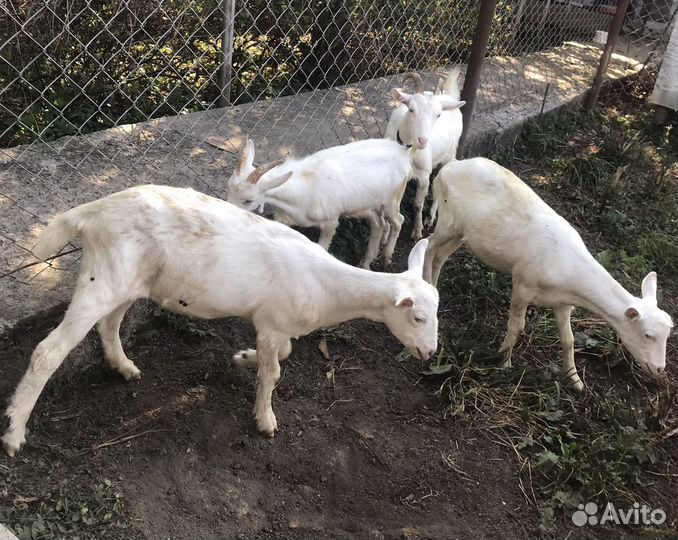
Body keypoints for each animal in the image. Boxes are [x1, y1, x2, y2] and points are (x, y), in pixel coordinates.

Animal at [2, 185, 439, 456]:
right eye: (417, 316)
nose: (429, 352)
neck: (325, 285)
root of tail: (91, 214)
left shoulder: (271, 322)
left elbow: (283, 351)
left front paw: (243, 358)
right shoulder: (273, 321)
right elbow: (274, 373)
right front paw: (265, 420)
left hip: (123, 280)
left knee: (108, 326)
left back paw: (124, 368)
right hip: (103, 279)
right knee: (48, 350)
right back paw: (14, 433)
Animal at [227, 138, 431, 269]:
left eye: (248, 200)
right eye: (228, 191)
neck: (304, 186)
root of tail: (404, 152)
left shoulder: (330, 222)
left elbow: (321, 247)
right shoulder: (285, 218)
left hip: (391, 200)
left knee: (398, 220)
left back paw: (386, 256)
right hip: (367, 206)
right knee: (379, 224)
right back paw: (366, 262)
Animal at [384, 70, 465, 240]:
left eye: (438, 115)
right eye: (411, 109)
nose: (423, 141)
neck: (409, 150)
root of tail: (449, 98)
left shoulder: (423, 175)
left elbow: (417, 204)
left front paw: (417, 230)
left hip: (449, 155)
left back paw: (430, 218)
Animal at [423, 158, 673, 390]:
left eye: (668, 334)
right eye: (648, 335)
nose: (659, 369)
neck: (570, 269)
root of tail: (449, 168)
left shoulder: (563, 302)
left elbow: (568, 339)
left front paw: (574, 379)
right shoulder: (523, 283)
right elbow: (517, 326)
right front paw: (503, 361)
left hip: (462, 233)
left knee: (440, 256)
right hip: (448, 221)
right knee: (428, 246)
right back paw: (428, 286)